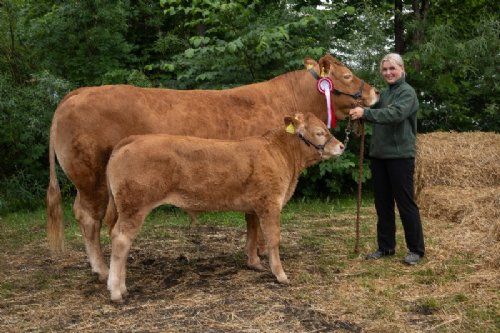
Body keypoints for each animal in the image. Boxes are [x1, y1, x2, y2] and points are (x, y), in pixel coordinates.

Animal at [47, 54, 378, 280]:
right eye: (347, 75)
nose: (375, 92)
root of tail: (78, 92)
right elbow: (256, 221)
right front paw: (259, 258)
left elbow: (252, 220)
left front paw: (256, 254)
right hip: (90, 178)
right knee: (88, 217)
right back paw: (102, 270)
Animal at [106, 113, 344, 302]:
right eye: (320, 132)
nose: (342, 146)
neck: (281, 155)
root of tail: (133, 139)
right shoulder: (270, 204)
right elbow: (273, 239)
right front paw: (280, 275)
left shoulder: (254, 206)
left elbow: (252, 232)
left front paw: (254, 262)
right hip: (134, 206)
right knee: (121, 239)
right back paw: (116, 291)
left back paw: (122, 287)